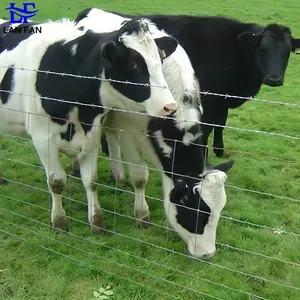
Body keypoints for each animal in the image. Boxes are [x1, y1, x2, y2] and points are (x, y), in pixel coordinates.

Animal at [0, 18, 180, 232]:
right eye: (134, 64)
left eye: (160, 61)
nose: (170, 107)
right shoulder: (42, 138)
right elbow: (56, 181)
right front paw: (59, 221)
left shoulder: (92, 134)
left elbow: (91, 181)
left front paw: (96, 221)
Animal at [74, 7, 300, 159]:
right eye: (263, 49)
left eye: (288, 51)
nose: (274, 79)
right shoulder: (208, 100)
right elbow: (207, 128)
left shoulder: (222, 101)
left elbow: (221, 124)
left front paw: (220, 151)